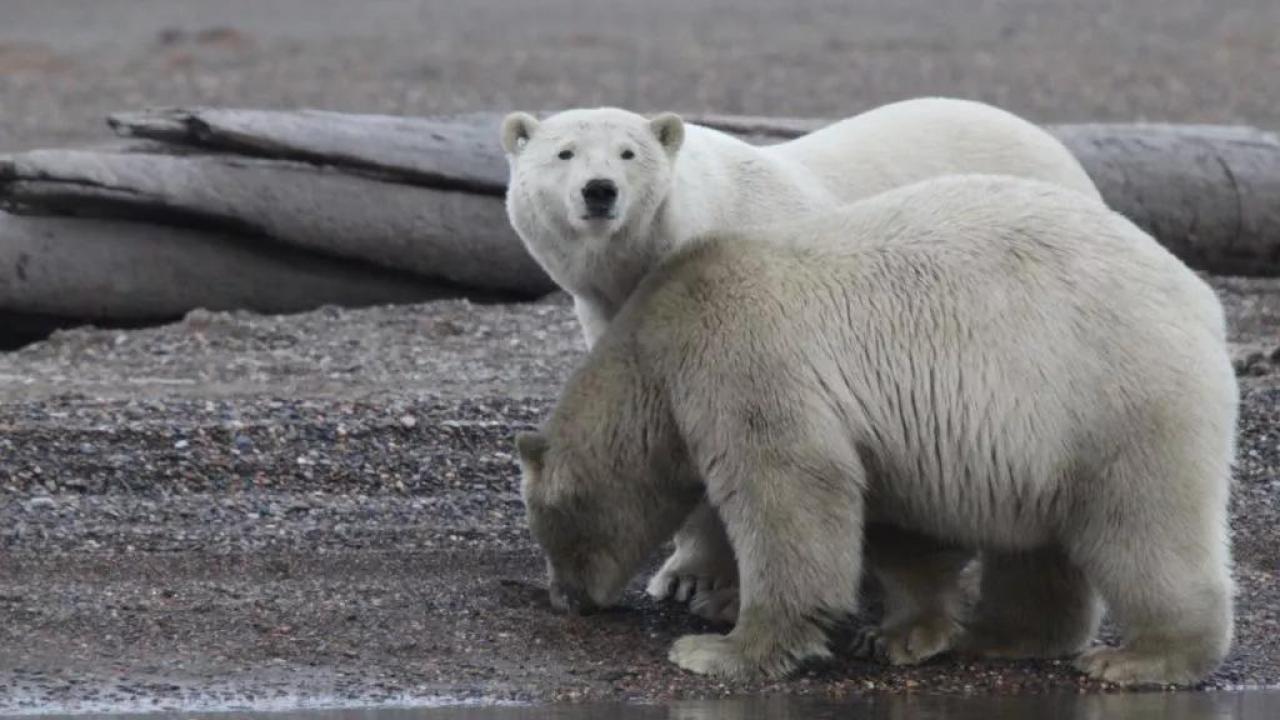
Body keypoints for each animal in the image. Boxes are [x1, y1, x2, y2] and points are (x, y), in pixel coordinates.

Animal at [499, 95, 1100, 617]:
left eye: (628, 153)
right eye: (565, 152)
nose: (599, 191)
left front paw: (703, 578)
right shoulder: (611, 308)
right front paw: (677, 575)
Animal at [514, 175, 1233, 681]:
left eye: (550, 523)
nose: (565, 599)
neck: (658, 341)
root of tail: (1201, 298)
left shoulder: (741, 358)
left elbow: (790, 493)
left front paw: (717, 649)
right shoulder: (887, 432)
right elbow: (898, 526)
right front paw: (897, 635)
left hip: (1112, 390)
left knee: (1142, 524)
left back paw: (1143, 657)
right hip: (1046, 432)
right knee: (1039, 541)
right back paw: (1002, 636)